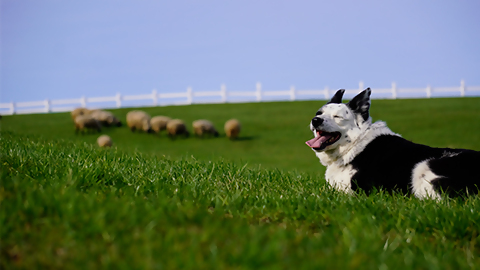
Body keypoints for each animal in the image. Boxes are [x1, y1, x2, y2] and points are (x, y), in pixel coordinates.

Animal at [308, 88, 480, 198]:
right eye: (319, 113)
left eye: (337, 116)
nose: (315, 120)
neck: (356, 144)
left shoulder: (362, 190)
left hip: (422, 167)